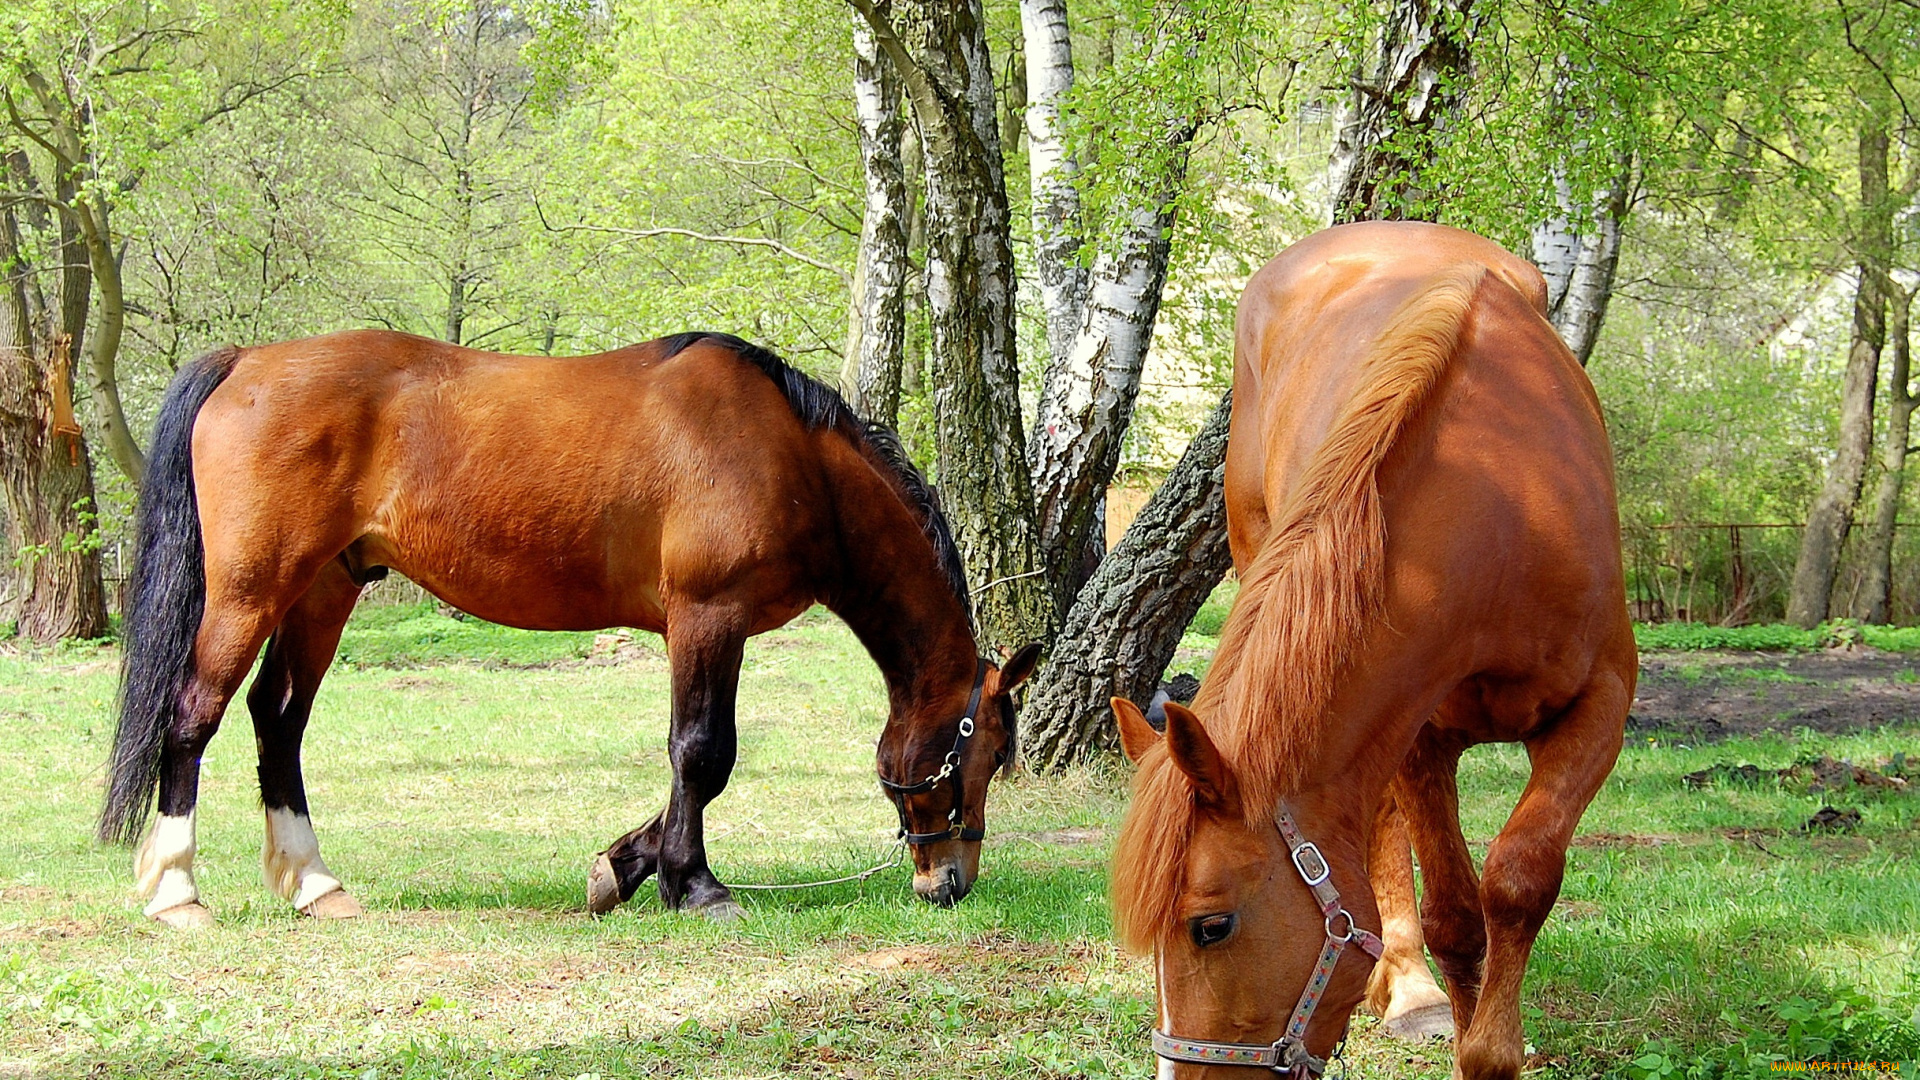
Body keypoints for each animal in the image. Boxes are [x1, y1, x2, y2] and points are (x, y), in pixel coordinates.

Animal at [97, 330, 1044, 926]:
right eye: (987, 754)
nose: (949, 882)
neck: (791, 454)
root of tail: (245, 361)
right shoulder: (708, 617)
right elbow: (704, 753)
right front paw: (694, 885)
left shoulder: (706, 629)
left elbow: (691, 767)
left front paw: (624, 867)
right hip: (249, 594)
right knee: (193, 717)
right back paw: (176, 892)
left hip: (324, 592)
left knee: (278, 724)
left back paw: (314, 884)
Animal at [1113, 220, 1635, 1076]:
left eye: (1209, 926)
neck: (1502, 512)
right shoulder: (1421, 730)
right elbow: (1455, 914)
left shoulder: (1601, 706)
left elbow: (1519, 878)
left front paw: (1491, 1049)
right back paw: (1410, 988)